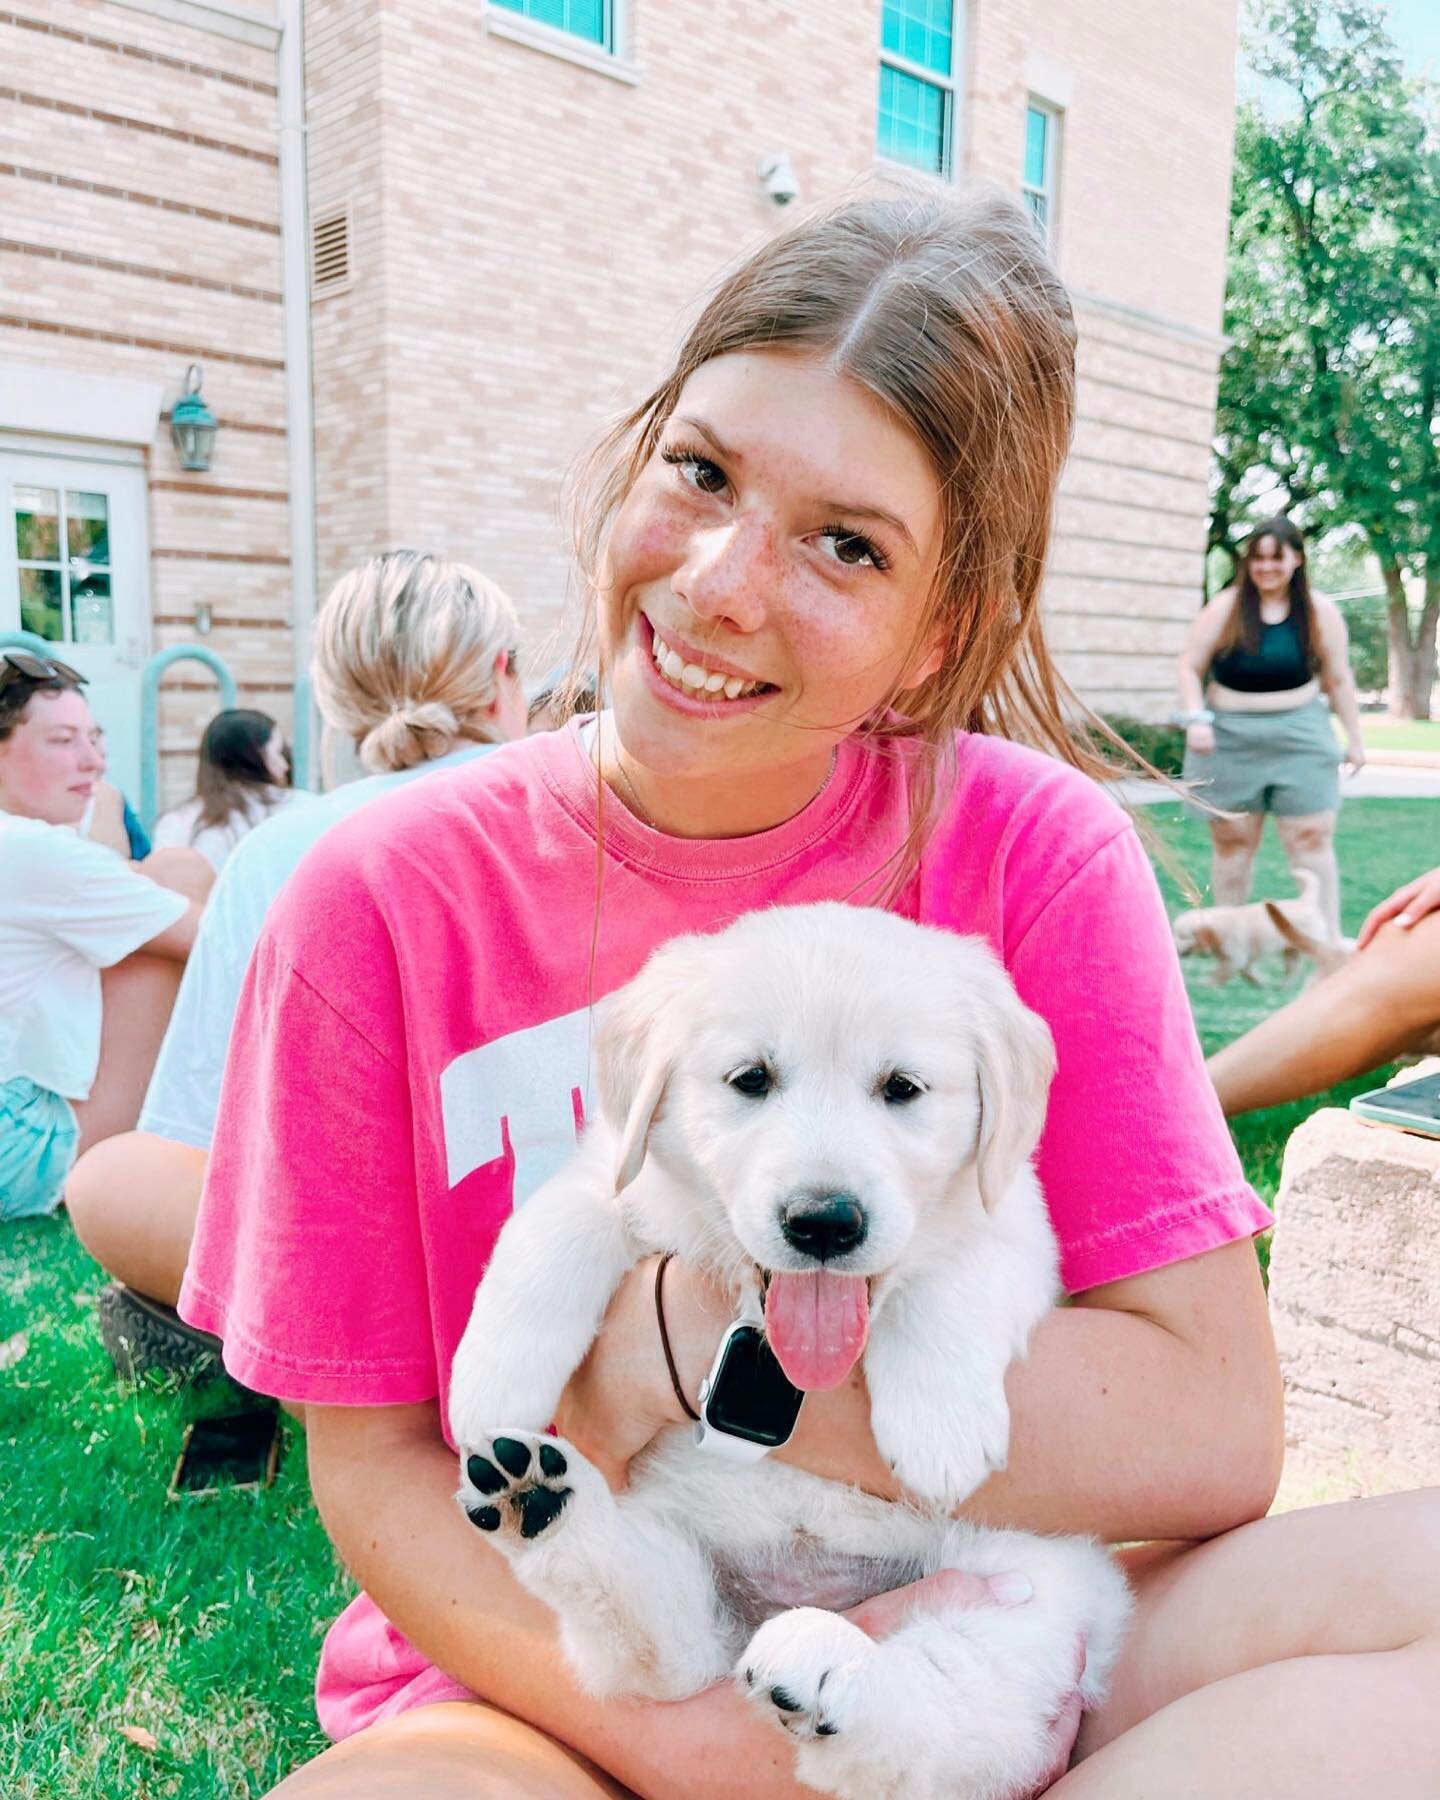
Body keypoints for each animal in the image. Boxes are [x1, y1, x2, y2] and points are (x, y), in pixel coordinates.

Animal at [446, 907, 1123, 1800]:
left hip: (1028, 1597)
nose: (824, 1222)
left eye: (902, 1089)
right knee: (660, 1649)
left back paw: (833, 1674)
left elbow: (951, 1281)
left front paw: (938, 1431)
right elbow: (554, 1230)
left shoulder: (1011, 1220)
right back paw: (540, 1503)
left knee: (925, 1723)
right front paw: (490, 1382)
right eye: (751, 1079)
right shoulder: (619, 1172)